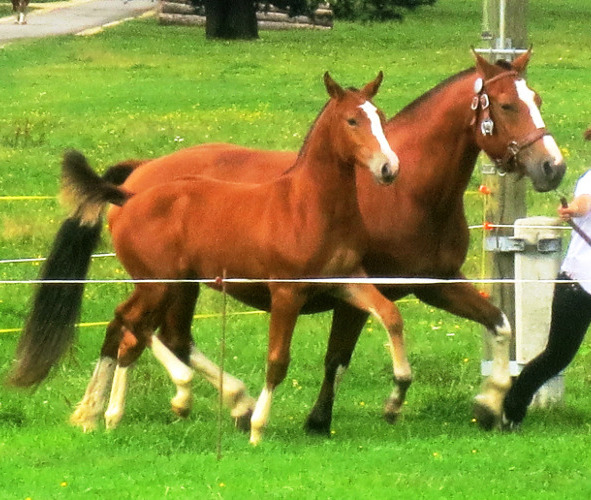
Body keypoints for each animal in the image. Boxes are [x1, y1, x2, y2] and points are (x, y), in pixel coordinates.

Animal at [11, 72, 402, 444]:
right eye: (352, 120)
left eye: (380, 117)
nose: (389, 168)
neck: (307, 205)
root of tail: (126, 195)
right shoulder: (286, 292)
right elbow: (277, 360)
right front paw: (258, 429)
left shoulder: (347, 280)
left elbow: (391, 316)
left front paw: (398, 394)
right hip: (159, 284)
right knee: (133, 324)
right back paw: (160, 401)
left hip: (172, 285)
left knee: (136, 328)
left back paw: (115, 412)